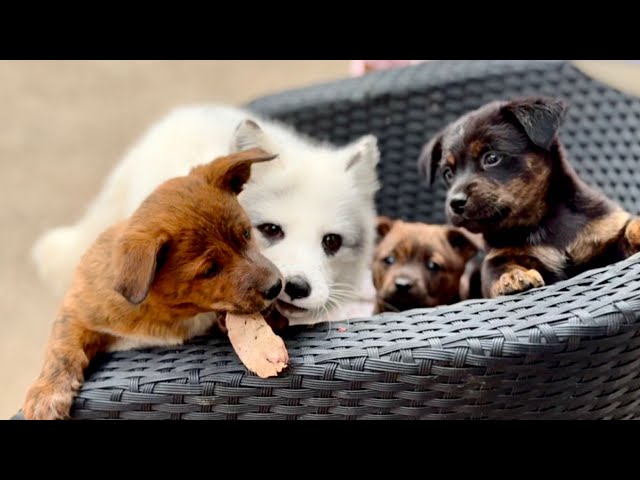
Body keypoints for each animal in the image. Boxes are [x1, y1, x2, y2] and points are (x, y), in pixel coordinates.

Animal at [23, 149, 282, 420]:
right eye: (210, 270)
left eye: (246, 234)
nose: (276, 287)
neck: (171, 313)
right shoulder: (77, 310)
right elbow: (62, 348)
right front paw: (47, 393)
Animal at [418, 96, 640, 300]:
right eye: (448, 173)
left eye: (491, 158)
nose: (455, 203)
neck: (543, 221)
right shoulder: (496, 258)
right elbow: (499, 270)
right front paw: (513, 277)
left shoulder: (608, 231)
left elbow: (629, 229)